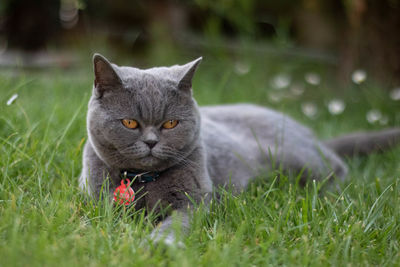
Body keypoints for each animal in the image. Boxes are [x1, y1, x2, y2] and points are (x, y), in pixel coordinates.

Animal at [79, 53, 400, 246]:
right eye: (130, 122)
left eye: (170, 123)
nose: (151, 142)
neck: (143, 181)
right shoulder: (96, 200)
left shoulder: (195, 200)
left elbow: (178, 223)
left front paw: (158, 244)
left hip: (297, 160)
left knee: (335, 168)